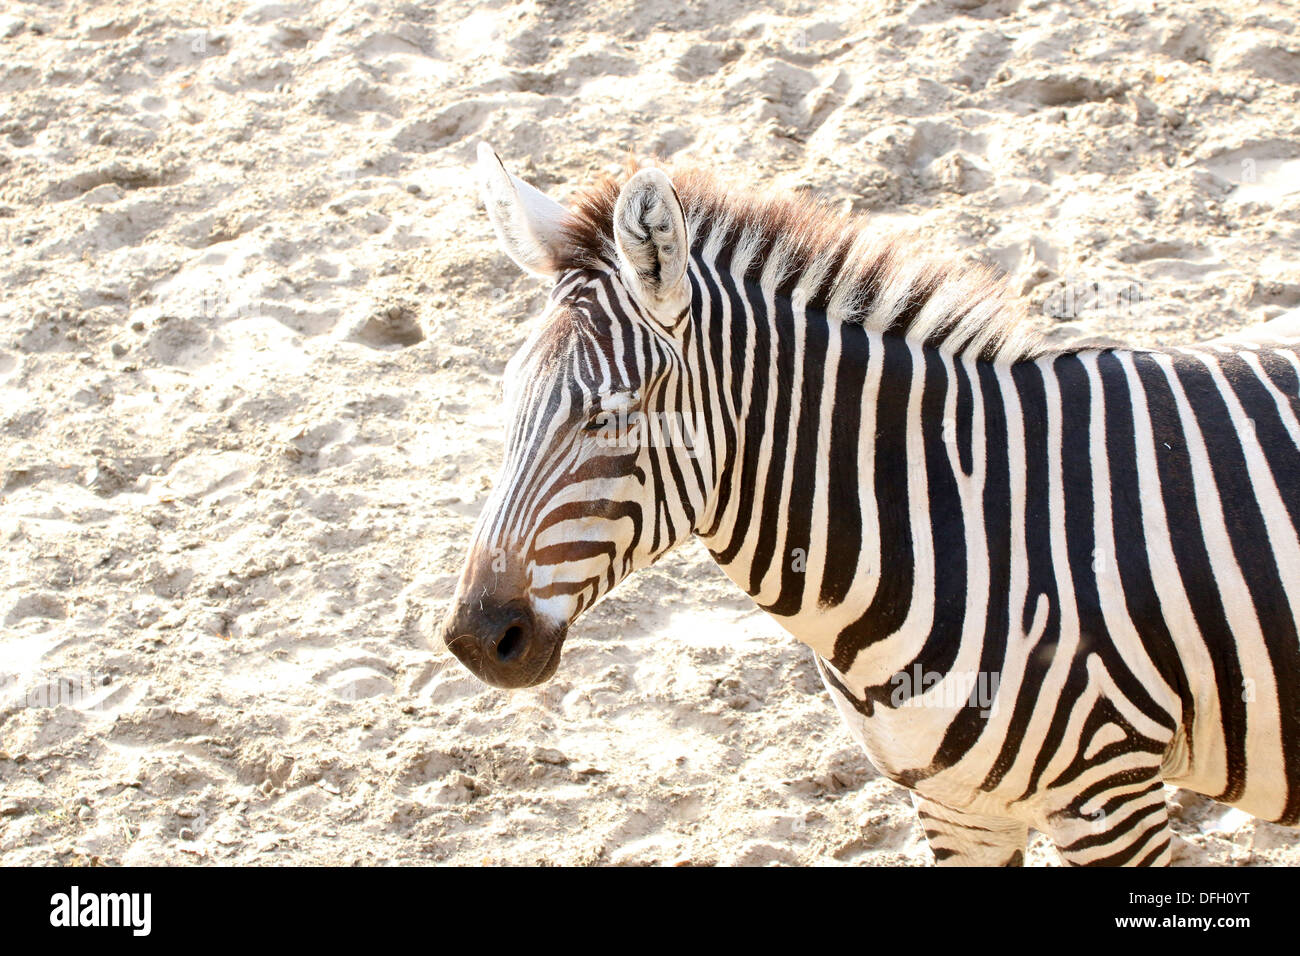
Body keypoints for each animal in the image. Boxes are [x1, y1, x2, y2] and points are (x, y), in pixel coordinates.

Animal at [439, 141, 1300, 868]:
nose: (477, 640)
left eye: (610, 417)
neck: (958, 525)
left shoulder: (1109, 799)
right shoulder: (957, 808)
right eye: (506, 401)